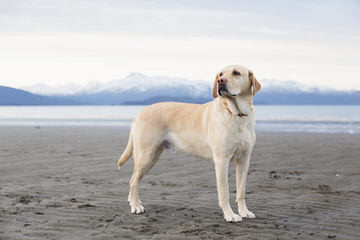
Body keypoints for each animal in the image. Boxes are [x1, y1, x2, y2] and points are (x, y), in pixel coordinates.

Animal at [116, 64, 260, 222]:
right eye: (220, 74)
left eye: (236, 73)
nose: (220, 81)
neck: (237, 114)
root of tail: (140, 112)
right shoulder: (222, 161)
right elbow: (224, 193)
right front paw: (230, 214)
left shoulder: (244, 160)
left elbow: (241, 191)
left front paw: (244, 211)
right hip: (145, 155)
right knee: (133, 181)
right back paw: (135, 206)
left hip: (152, 157)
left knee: (135, 180)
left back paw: (135, 202)